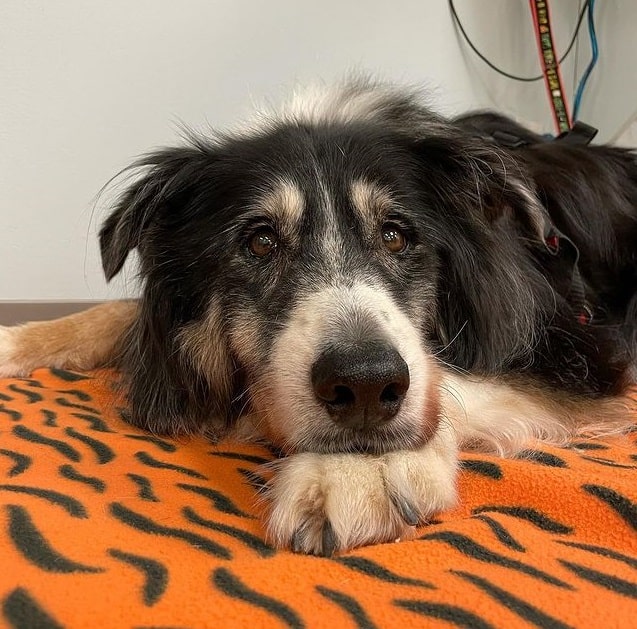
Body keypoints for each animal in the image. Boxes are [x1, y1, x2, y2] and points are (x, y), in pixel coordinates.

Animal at [1, 79, 636, 556]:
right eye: (260, 243)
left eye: (396, 236)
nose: (366, 386)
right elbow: (116, 312)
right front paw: (18, 340)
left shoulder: (584, 350)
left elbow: (449, 381)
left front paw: (360, 472)